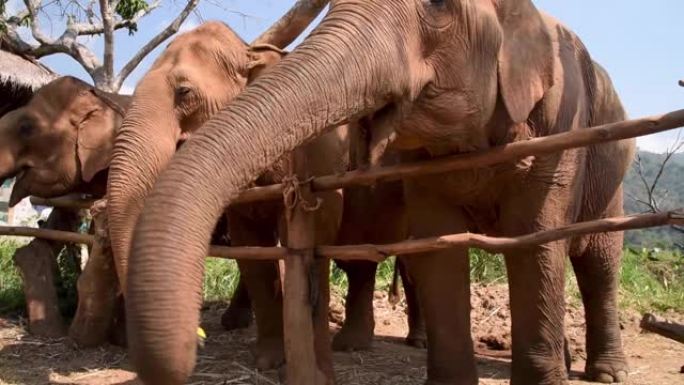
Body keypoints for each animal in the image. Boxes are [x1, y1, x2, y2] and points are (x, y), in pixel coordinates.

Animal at [127, 0, 636, 384]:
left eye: (184, 93)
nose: (190, 342)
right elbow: (439, 247)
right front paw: (269, 361)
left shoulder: (559, 128)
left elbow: (533, 240)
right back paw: (361, 343)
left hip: (607, 170)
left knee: (597, 261)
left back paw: (606, 372)